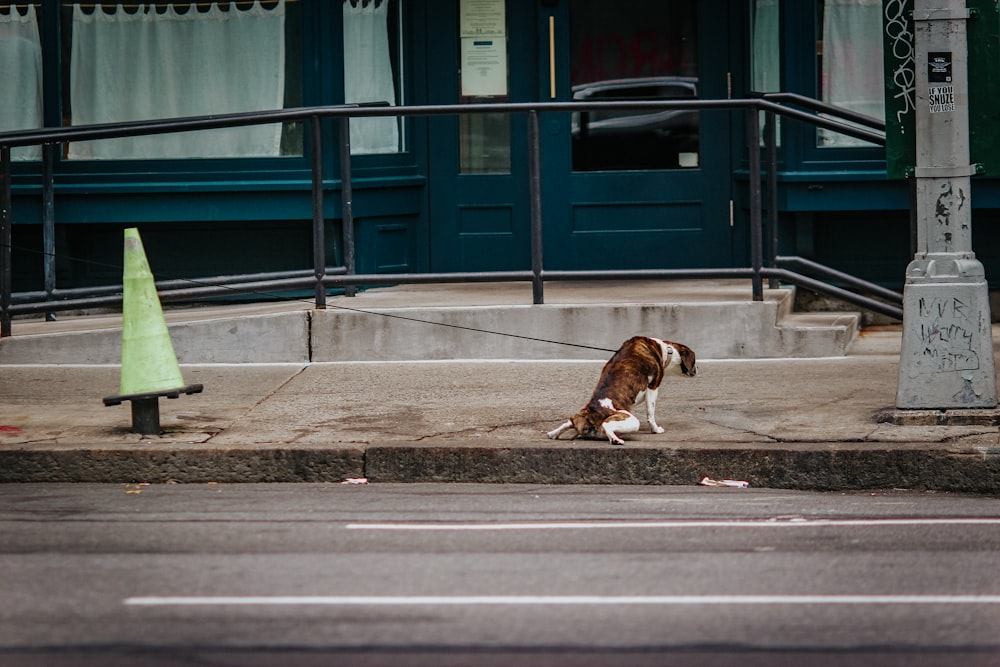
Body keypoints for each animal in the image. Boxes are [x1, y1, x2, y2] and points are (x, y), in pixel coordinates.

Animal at [548, 336, 696, 446]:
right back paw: (615, 439)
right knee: (606, 424)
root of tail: (590, 414)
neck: (666, 350)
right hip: (630, 420)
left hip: (579, 416)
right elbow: (651, 413)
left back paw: (553, 433)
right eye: (694, 362)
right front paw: (655, 429)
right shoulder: (653, 388)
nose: (697, 369)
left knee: (569, 421)